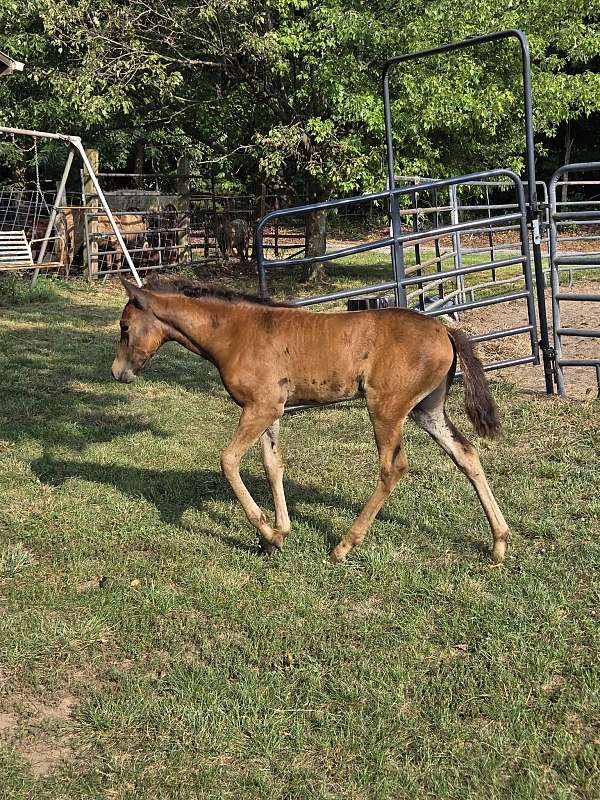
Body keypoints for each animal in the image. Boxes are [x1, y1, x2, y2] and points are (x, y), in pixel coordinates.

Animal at [111, 277, 509, 564]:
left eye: (125, 327)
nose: (117, 373)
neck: (235, 332)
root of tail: (444, 330)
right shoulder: (269, 409)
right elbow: (272, 465)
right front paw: (277, 535)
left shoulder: (260, 408)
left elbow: (228, 461)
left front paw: (267, 532)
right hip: (427, 409)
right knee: (466, 454)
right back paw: (499, 543)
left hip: (387, 408)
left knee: (393, 467)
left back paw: (344, 546)